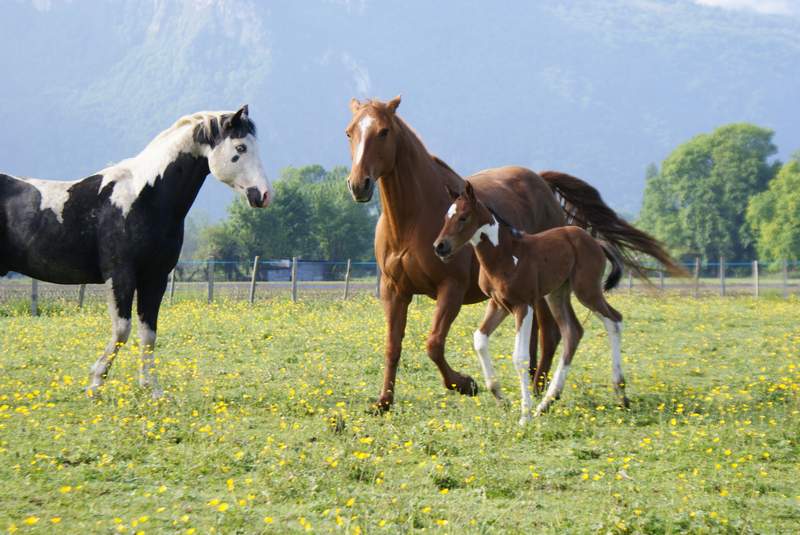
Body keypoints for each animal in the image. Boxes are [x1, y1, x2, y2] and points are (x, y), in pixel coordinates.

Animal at [0, 105, 272, 398]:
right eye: (241, 147)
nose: (264, 194)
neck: (144, 197)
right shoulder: (120, 274)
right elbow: (122, 329)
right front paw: (95, 382)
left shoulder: (156, 278)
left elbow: (148, 333)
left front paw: (151, 388)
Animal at [434, 182, 628, 426]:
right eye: (445, 217)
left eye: (463, 217)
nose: (440, 247)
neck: (504, 255)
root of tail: (595, 241)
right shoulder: (498, 304)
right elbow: (479, 339)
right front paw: (500, 397)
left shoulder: (523, 305)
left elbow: (521, 358)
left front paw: (524, 415)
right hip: (557, 294)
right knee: (572, 332)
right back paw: (546, 403)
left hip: (587, 291)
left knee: (614, 320)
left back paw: (620, 393)